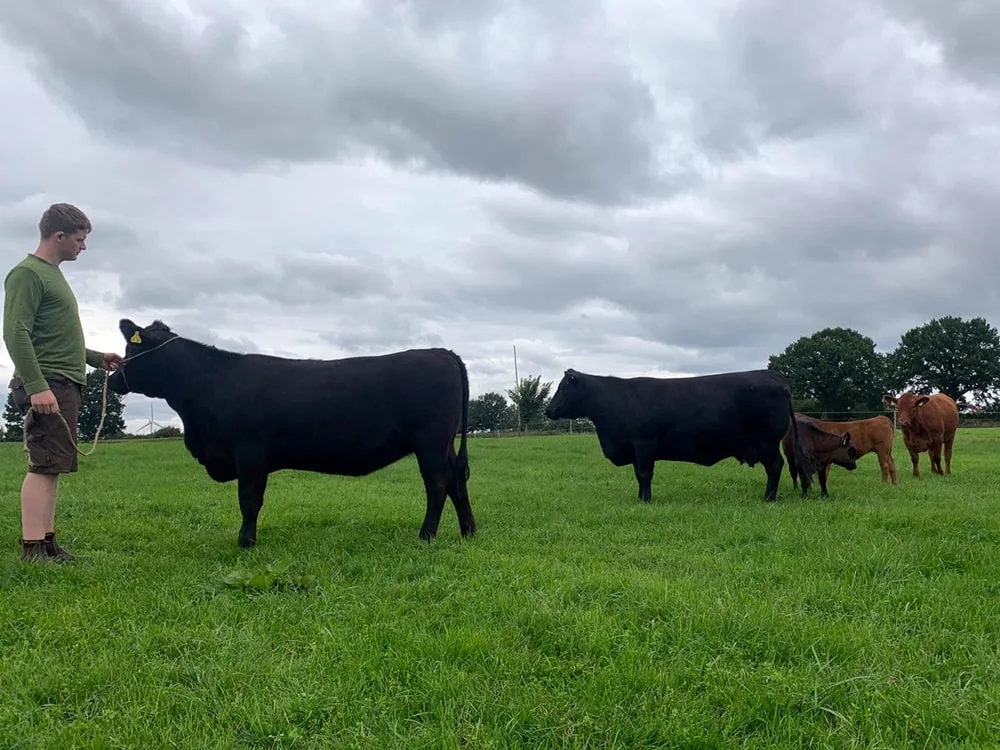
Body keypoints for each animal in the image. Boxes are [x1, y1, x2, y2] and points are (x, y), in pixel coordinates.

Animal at [105, 316, 476, 548]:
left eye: (131, 350)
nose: (112, 379)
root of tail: (442, 352)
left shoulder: (250, 451)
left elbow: (249, 500)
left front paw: (245, 542)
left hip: (430, 443)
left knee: (438, 483)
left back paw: (426, 535)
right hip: (444, 444)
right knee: (457, 479)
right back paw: (468, 531)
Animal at [544, 368, 816, 502]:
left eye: (563, 387)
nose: (548, 410)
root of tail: (774, 378)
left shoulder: (643, 444)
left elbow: (645, 474)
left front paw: (646, 500)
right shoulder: (634, 449)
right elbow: (638, 475)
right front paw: (640, 497)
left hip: (767, 442)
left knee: (776, 466)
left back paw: (769, 498)